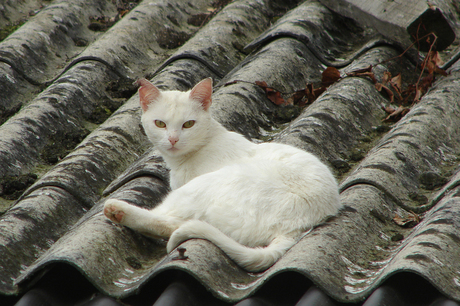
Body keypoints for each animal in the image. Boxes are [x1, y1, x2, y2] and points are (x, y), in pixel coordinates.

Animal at [105, 77, 342, 272]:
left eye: (188, 124)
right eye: (160, 124)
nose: (173, 139)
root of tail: (297, 228)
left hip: (202, 187)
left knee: (169, 222)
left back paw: (117, 210)